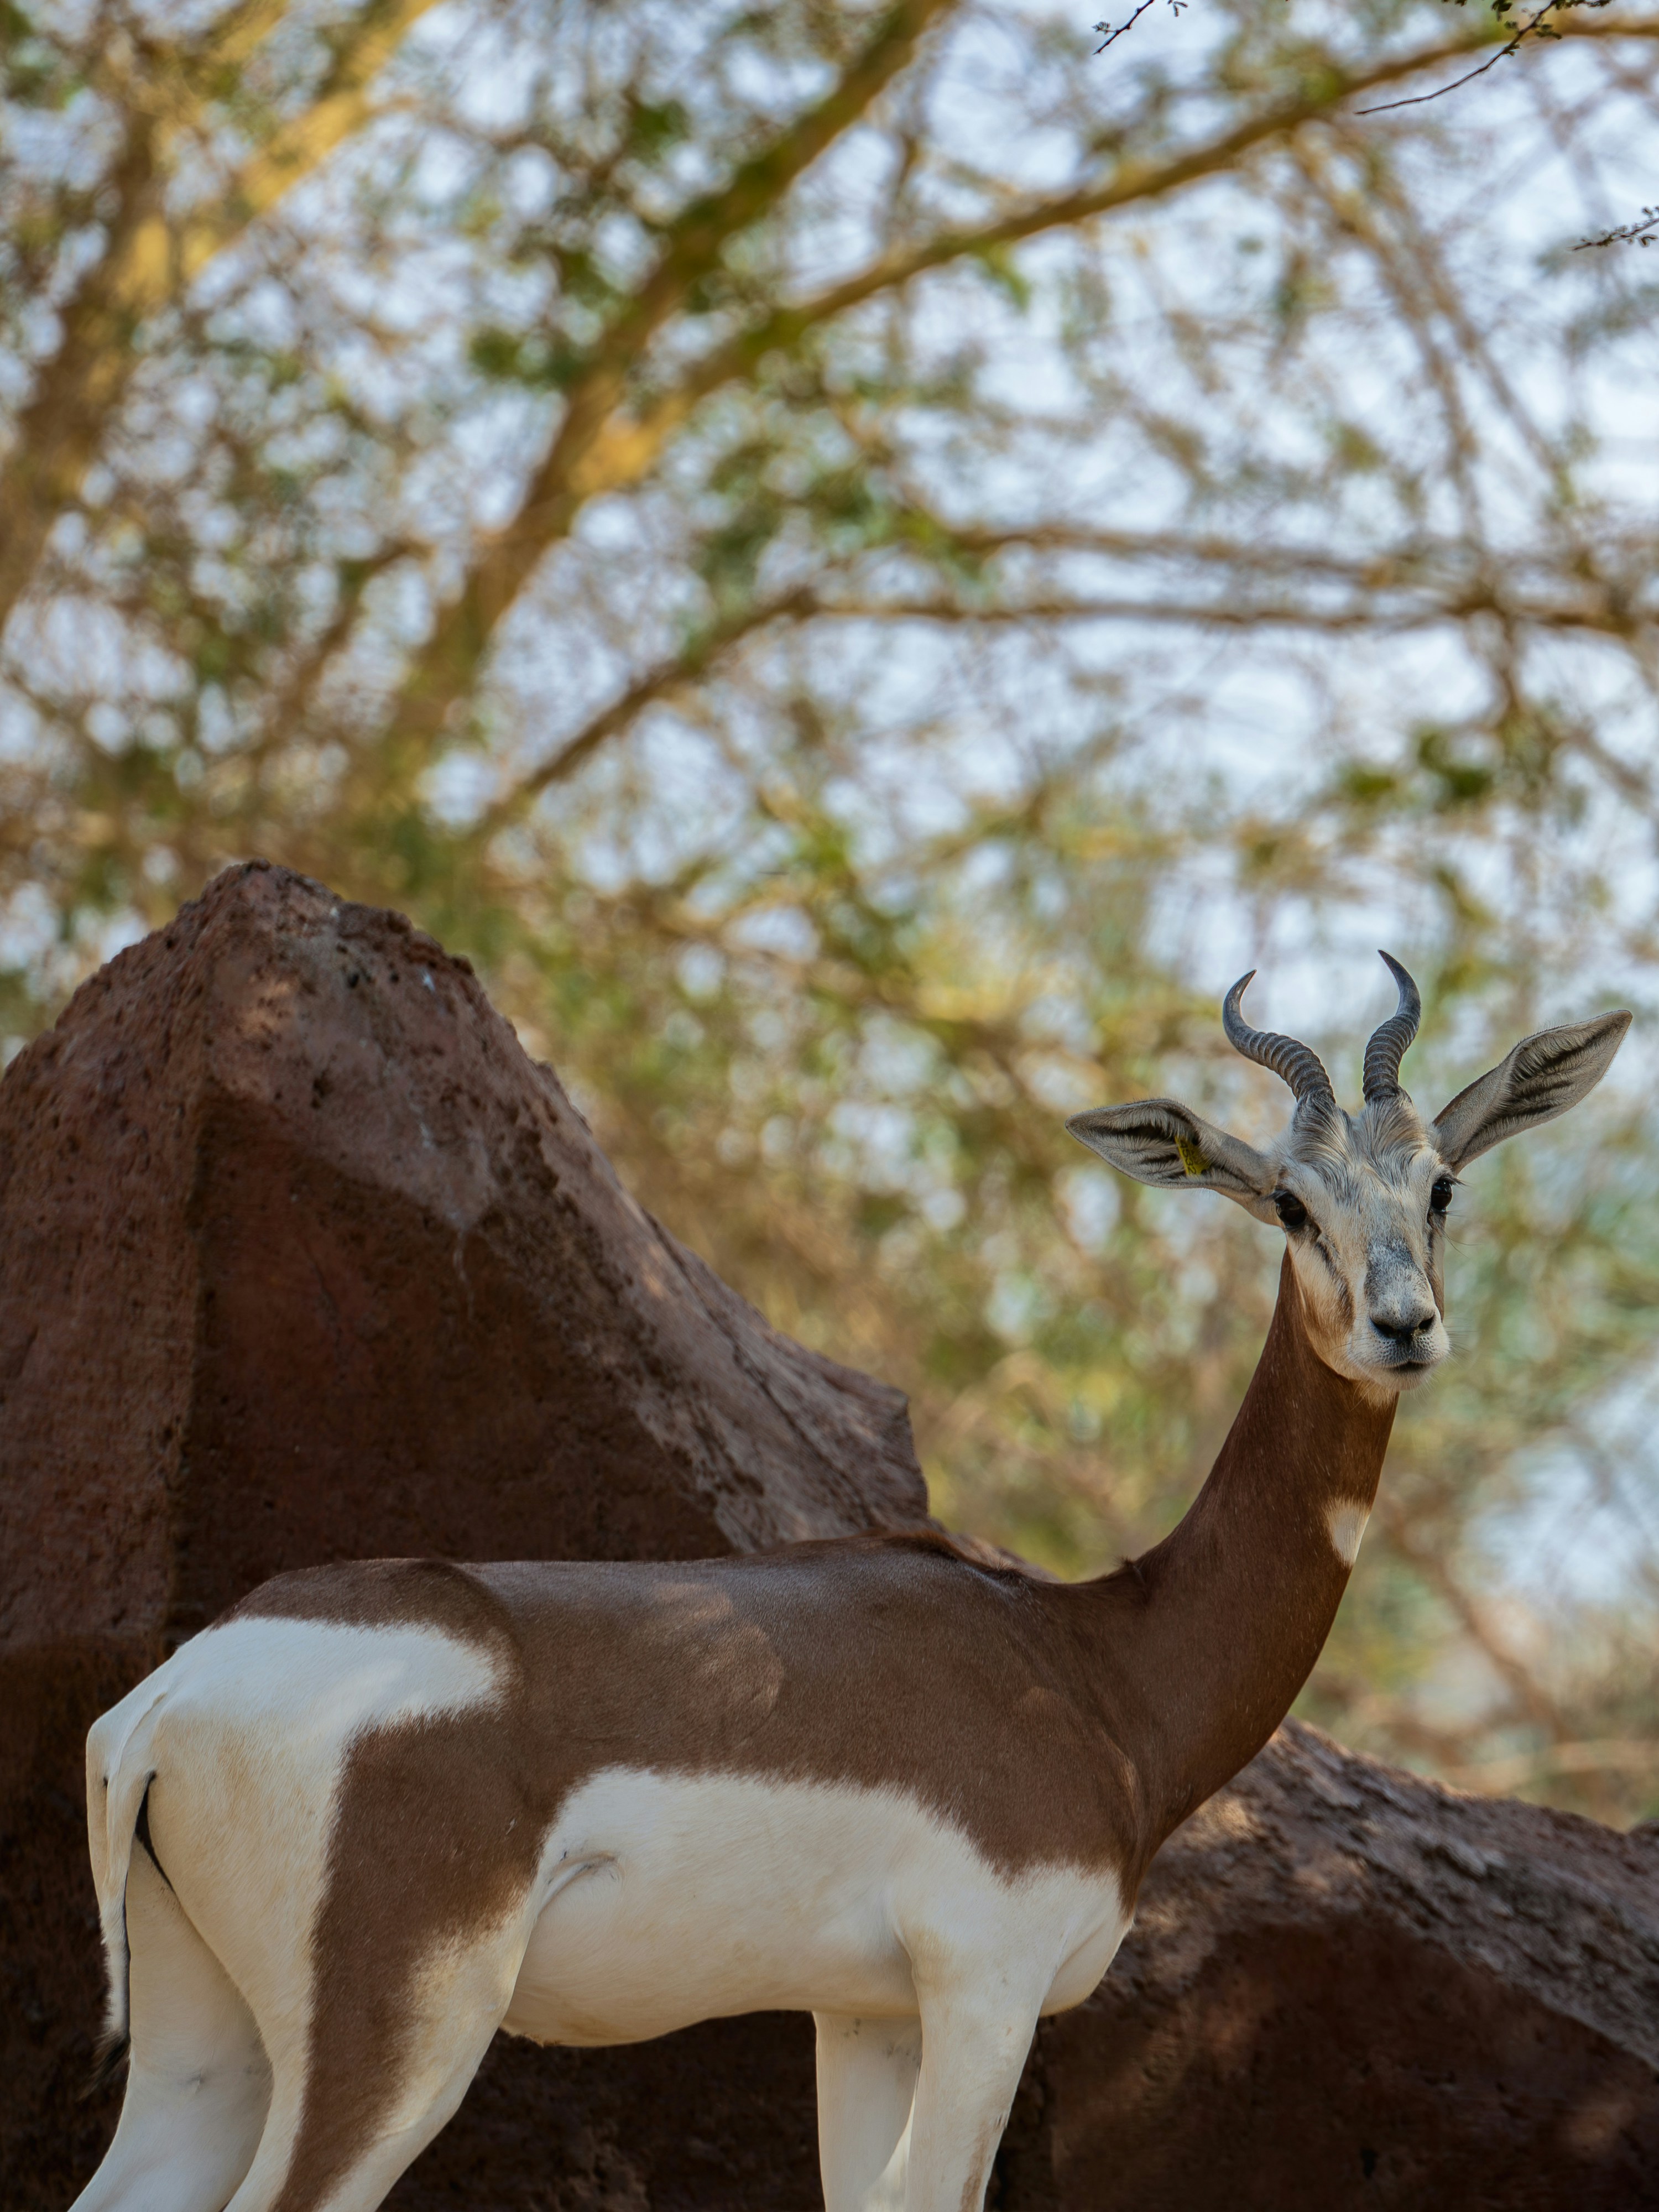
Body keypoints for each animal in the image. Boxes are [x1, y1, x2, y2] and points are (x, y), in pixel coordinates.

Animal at [73, 958, 1627, 2212]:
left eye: (1439, 1185)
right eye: (1291, 1204)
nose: (1402, 1326)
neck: (1093, 1663)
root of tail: (168, 1697)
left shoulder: (864, 2015)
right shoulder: (988, 1991)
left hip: (207, 2044)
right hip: (403, 2032)